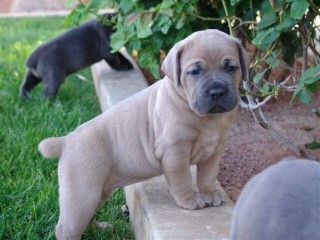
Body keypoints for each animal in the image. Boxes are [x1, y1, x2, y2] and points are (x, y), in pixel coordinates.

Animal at [37, 29, 248, 239]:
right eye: (195, 72)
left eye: (231, 68)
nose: (217, 91)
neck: (207, 118)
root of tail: (65, 141)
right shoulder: (175, 151)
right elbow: (182, 179)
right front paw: (190, 200)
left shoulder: (214, 150)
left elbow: (208, 175)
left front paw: (209, 193)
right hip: (82, 192)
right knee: (68, 227)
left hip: (97, 192)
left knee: (87, 217)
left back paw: (100, 227)